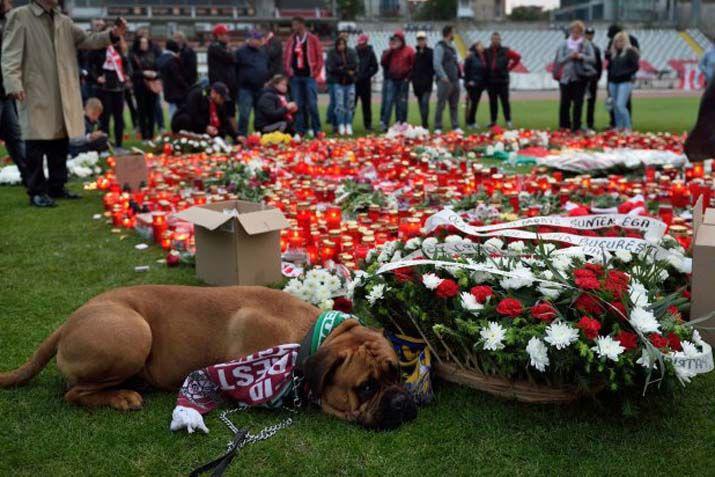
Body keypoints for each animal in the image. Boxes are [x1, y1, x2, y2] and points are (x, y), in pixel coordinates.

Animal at [0, 284, 416, 430]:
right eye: (366, 388)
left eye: (397, 373)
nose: (401, 401)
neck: (311, 336)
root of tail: (68, 321)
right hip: (134, 334)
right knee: (73, 392)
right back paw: (122, 396)